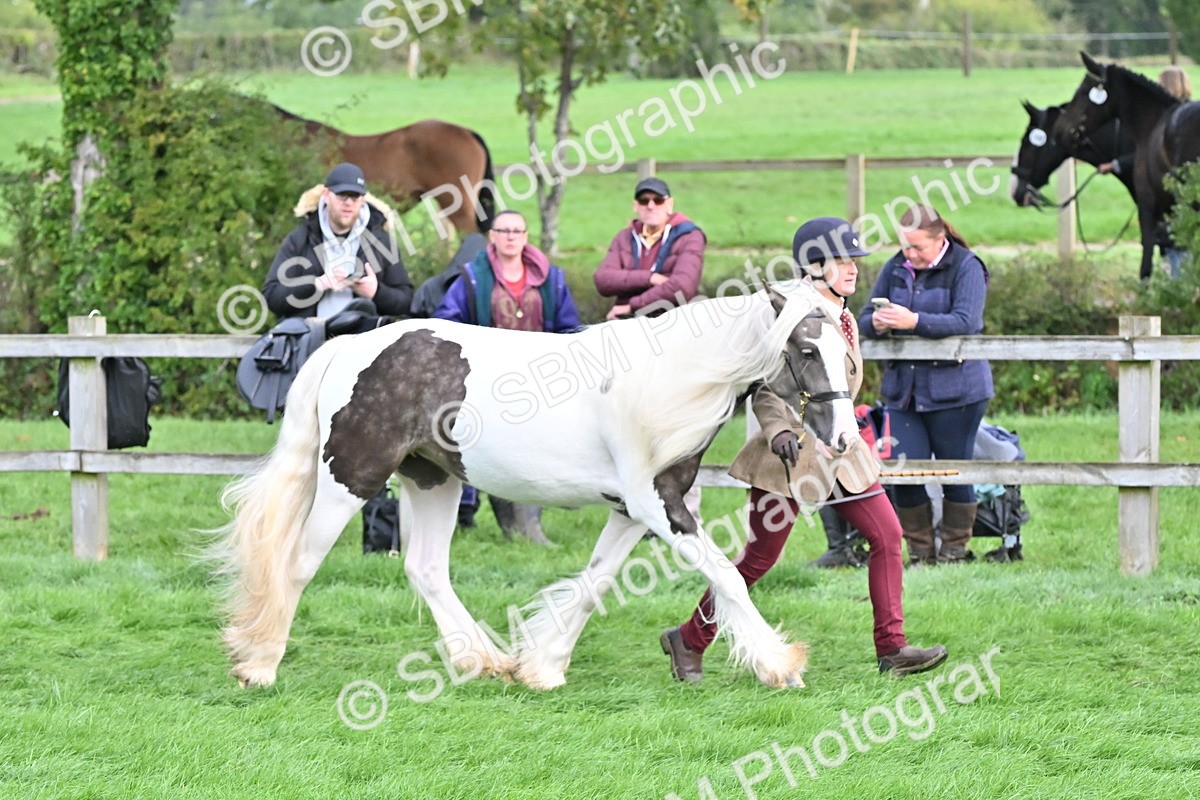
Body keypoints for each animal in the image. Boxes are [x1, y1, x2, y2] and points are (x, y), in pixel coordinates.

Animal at [212, 281, 861, 691]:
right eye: (806, 349)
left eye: (842, 347)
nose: (844, 439)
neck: (673, 380)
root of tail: (351, 345)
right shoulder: (658, 504)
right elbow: (726, 575)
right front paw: (782, 665)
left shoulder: (630, 510)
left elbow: (595, 584)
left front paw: (543, 668)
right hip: (350, 478)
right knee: (298, 563)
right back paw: (259, 665)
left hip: (433, 480)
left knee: (425, 568)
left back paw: (483, 661)